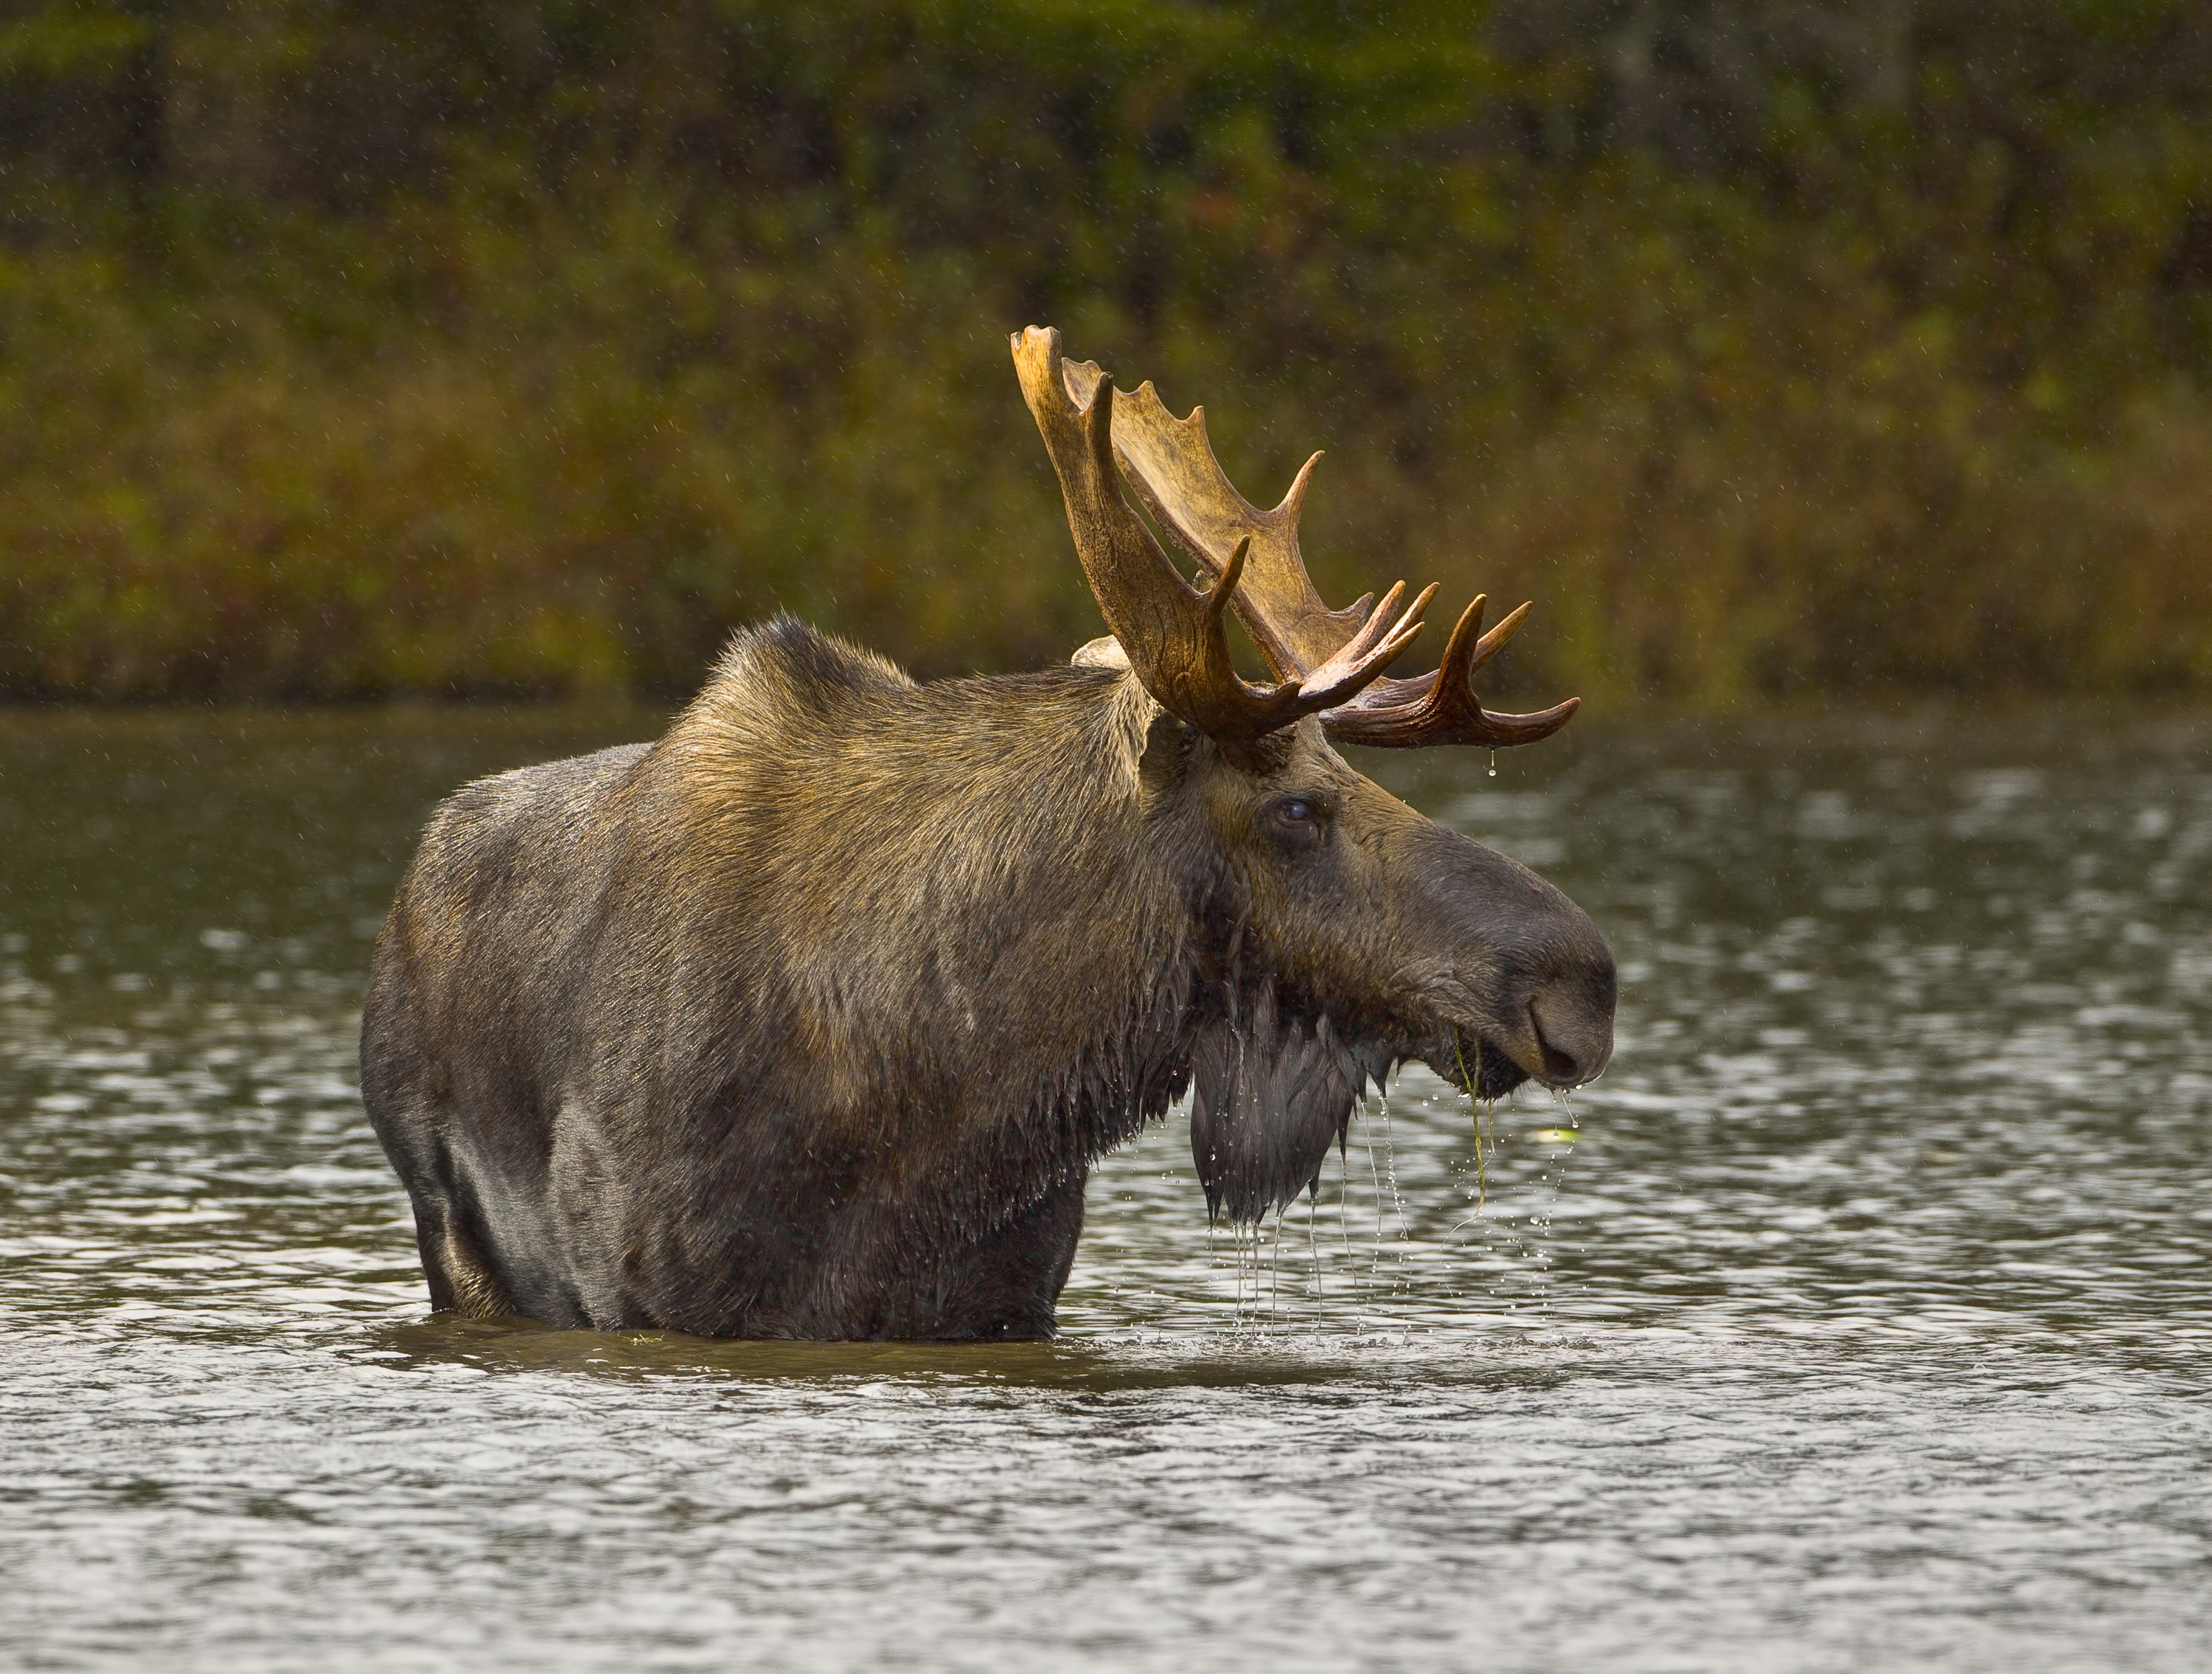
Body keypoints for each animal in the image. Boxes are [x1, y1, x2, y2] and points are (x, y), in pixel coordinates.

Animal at [358, 329, 1610, 1344]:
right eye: (1298, 808)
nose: (1581, 982)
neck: (959, 1088)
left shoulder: (1005, 1296)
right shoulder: (654, 1291)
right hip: (453, 1237)